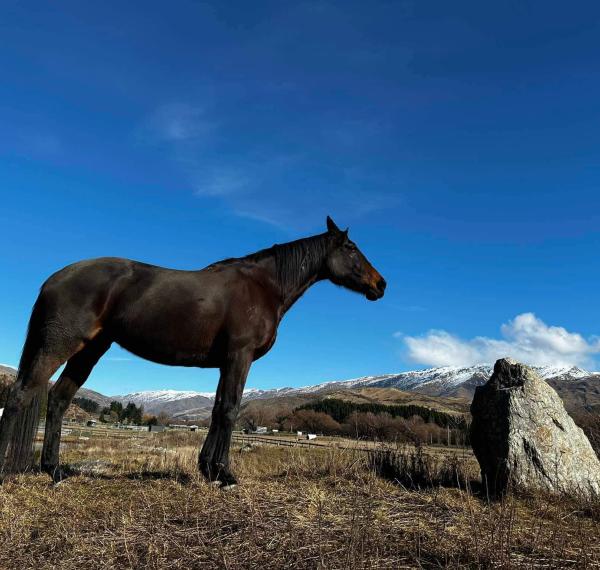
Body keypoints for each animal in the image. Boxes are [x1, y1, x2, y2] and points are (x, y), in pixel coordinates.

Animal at [0, 215, 384, 482]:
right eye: (351, 248)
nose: (381, 284)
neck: (263, 286)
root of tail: (55, 278)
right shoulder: (239, 357)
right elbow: (229, 410)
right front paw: (225, 474)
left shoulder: (225, 362)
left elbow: (216, 411)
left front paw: (208, 469)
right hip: (60, 344)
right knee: (20, 395)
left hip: (91, 349)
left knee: (59, 399)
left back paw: (55, 470)